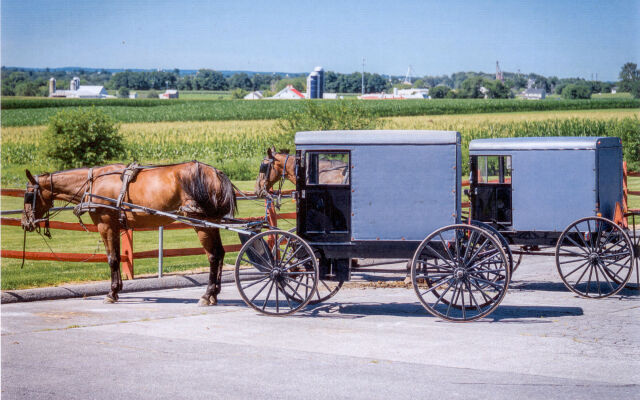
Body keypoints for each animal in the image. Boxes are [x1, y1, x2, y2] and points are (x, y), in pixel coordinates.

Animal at [22, 161, 239, 304]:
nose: (25, 222)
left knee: (213, 256)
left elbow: (112, 258)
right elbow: (118, 256)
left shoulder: (106, 225)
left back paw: (207, 294)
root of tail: (216, 173)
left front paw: (111, 293)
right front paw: (117, 289)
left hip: (202, 224)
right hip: (213, 223)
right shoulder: (117, 227)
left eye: (29, 195)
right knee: (220, 253)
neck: (93, 184)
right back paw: (215, 293)